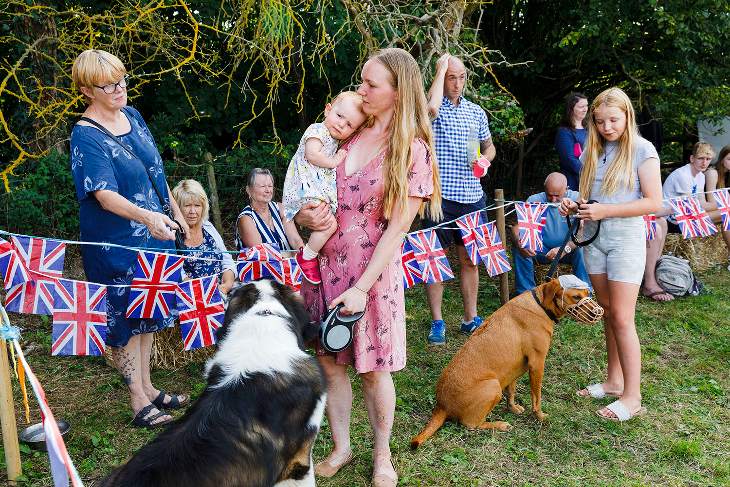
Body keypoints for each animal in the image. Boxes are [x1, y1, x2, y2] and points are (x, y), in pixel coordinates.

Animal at [410, 276, 596, 452]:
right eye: (575, 296)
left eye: (588, 293)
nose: (597, 312)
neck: (540, 305)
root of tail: (441, 405)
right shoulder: (537, 365)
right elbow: (536, 398)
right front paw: (540, 417)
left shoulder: (513, 369)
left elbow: (511, 391)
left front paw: (512, 408)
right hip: (493, 386)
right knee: (472, 425)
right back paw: (499, 425)